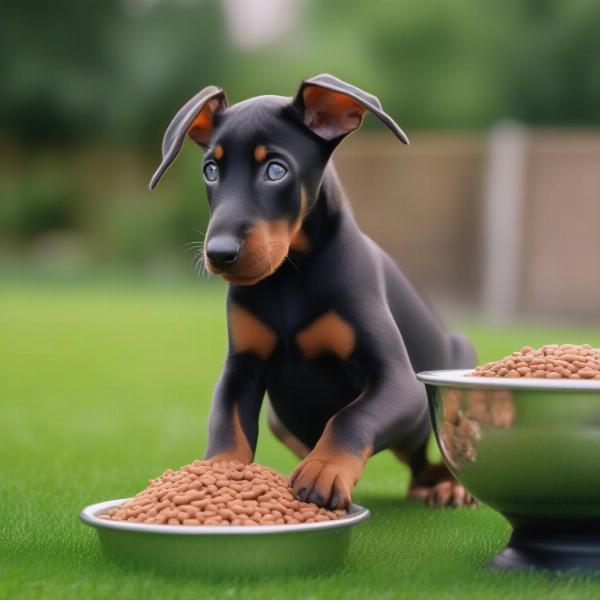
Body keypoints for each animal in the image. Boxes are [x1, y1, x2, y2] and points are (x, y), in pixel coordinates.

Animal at [151, 74, 478, 506]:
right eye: (210, 170)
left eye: (276, 170)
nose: (219, 254)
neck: (291, 275)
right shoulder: (242, 366)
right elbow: (226, 423)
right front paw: (214, 474)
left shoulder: (400, 382)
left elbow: (348, 417)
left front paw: (324, 469)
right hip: (281, 420)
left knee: (431, 455)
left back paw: (448, 485)